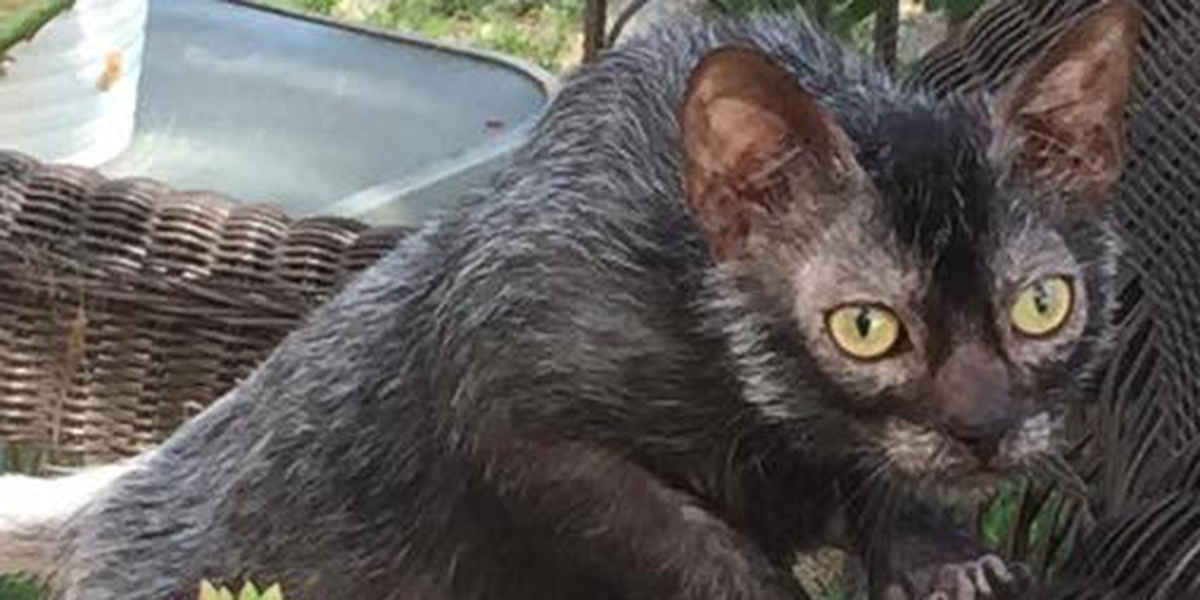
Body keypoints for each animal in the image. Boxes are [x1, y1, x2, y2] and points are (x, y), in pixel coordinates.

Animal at [0, 2, 1137, 597]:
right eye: (866, 328)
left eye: (1044, 307)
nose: (987, 430)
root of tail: (118, 488)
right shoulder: (512, 398)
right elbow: (686, 538)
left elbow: (879, 491)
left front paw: (951, 560)